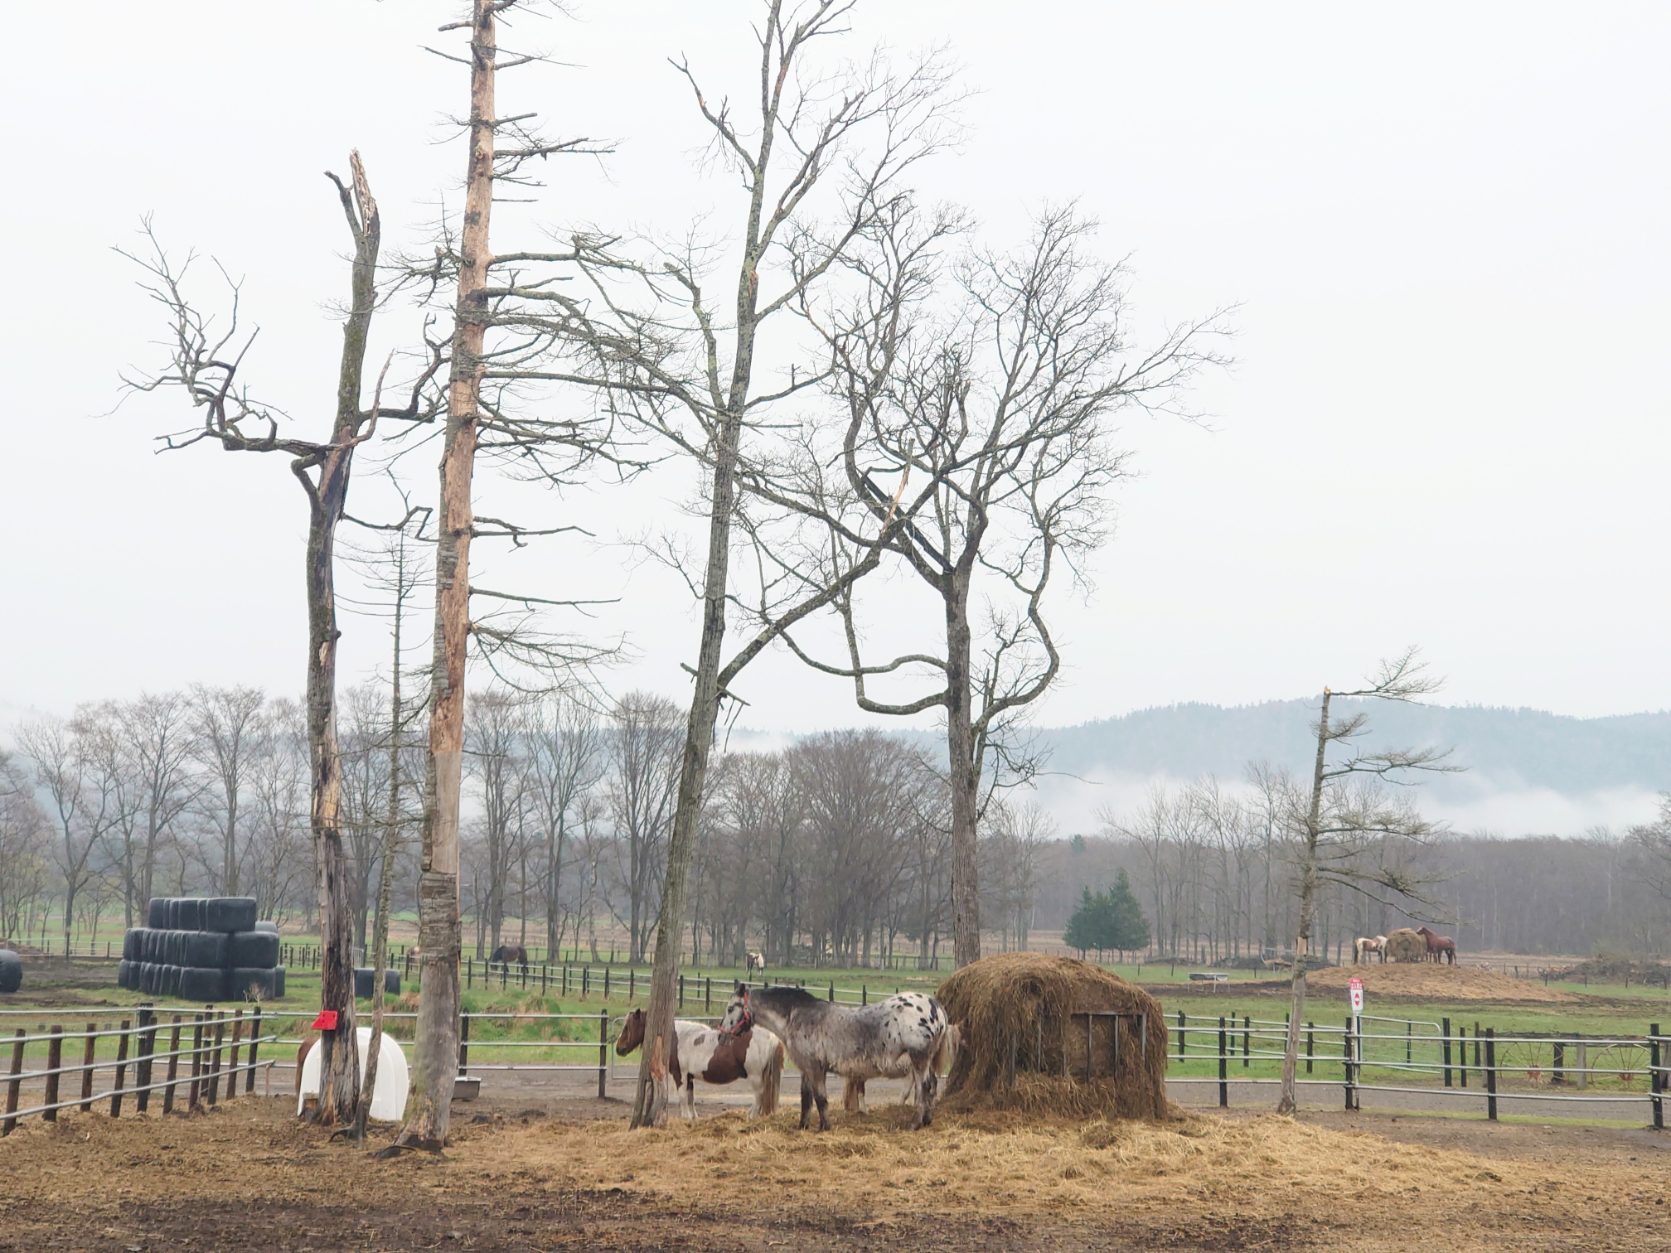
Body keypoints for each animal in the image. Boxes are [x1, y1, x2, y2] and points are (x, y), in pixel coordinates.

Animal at [614, 1009, 782, 1116]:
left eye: (627, 1027)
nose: (618, 1048)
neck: (678, 1038)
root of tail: (772, 1038)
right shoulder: (689, 1077)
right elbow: (690, 1099)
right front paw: (692, 1119)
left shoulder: (680, 1075)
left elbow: (683, 1098)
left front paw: (685, 1118)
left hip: (755, 1076)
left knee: (759, 1097)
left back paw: (751, 1116)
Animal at [718, 989, 955, 1136]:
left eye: (730, 1008)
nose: (721, 1036)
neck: (797, 1016)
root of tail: (935, 1006)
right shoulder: (806, 1068)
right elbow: (806, 1099)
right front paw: (802, 1126)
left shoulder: (815, 1068)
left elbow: (821, 1099)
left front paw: (825, 1127)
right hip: (925, 1061)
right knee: (932, 1085)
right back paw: (927, 1120)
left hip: (919, 1058)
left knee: (924, 1087)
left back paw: (915, 1123)